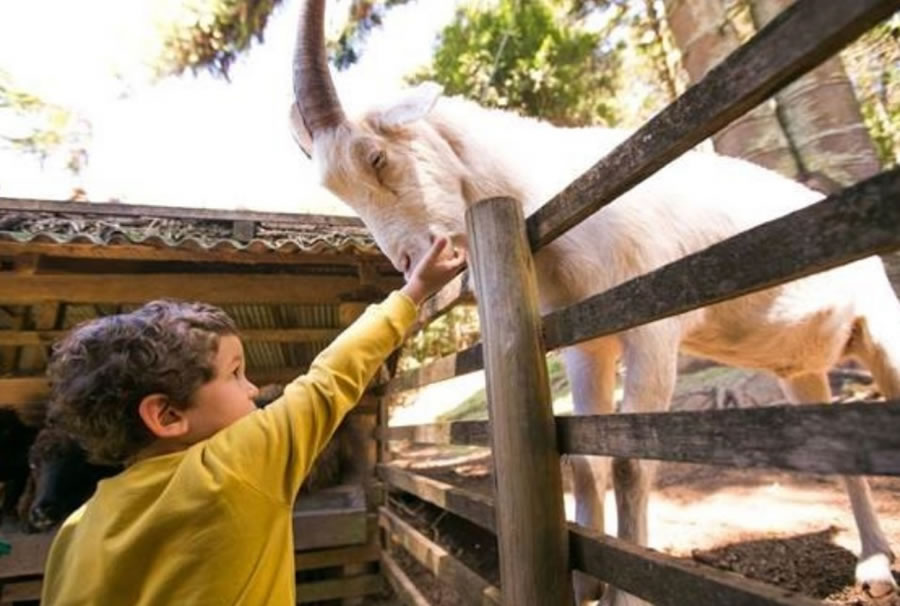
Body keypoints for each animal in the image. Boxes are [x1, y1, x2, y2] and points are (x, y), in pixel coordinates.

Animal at [288, 2, 900, 604]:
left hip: (882, 324)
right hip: (799, 370)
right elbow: (584, 461)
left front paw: (623, 592)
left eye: (376, 158)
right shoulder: (587, 343)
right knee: (839, 448)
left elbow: (631, 459)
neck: (557, 189)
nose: (418, 265)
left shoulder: (653, 327)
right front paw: (583, 584)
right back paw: (873, 564)